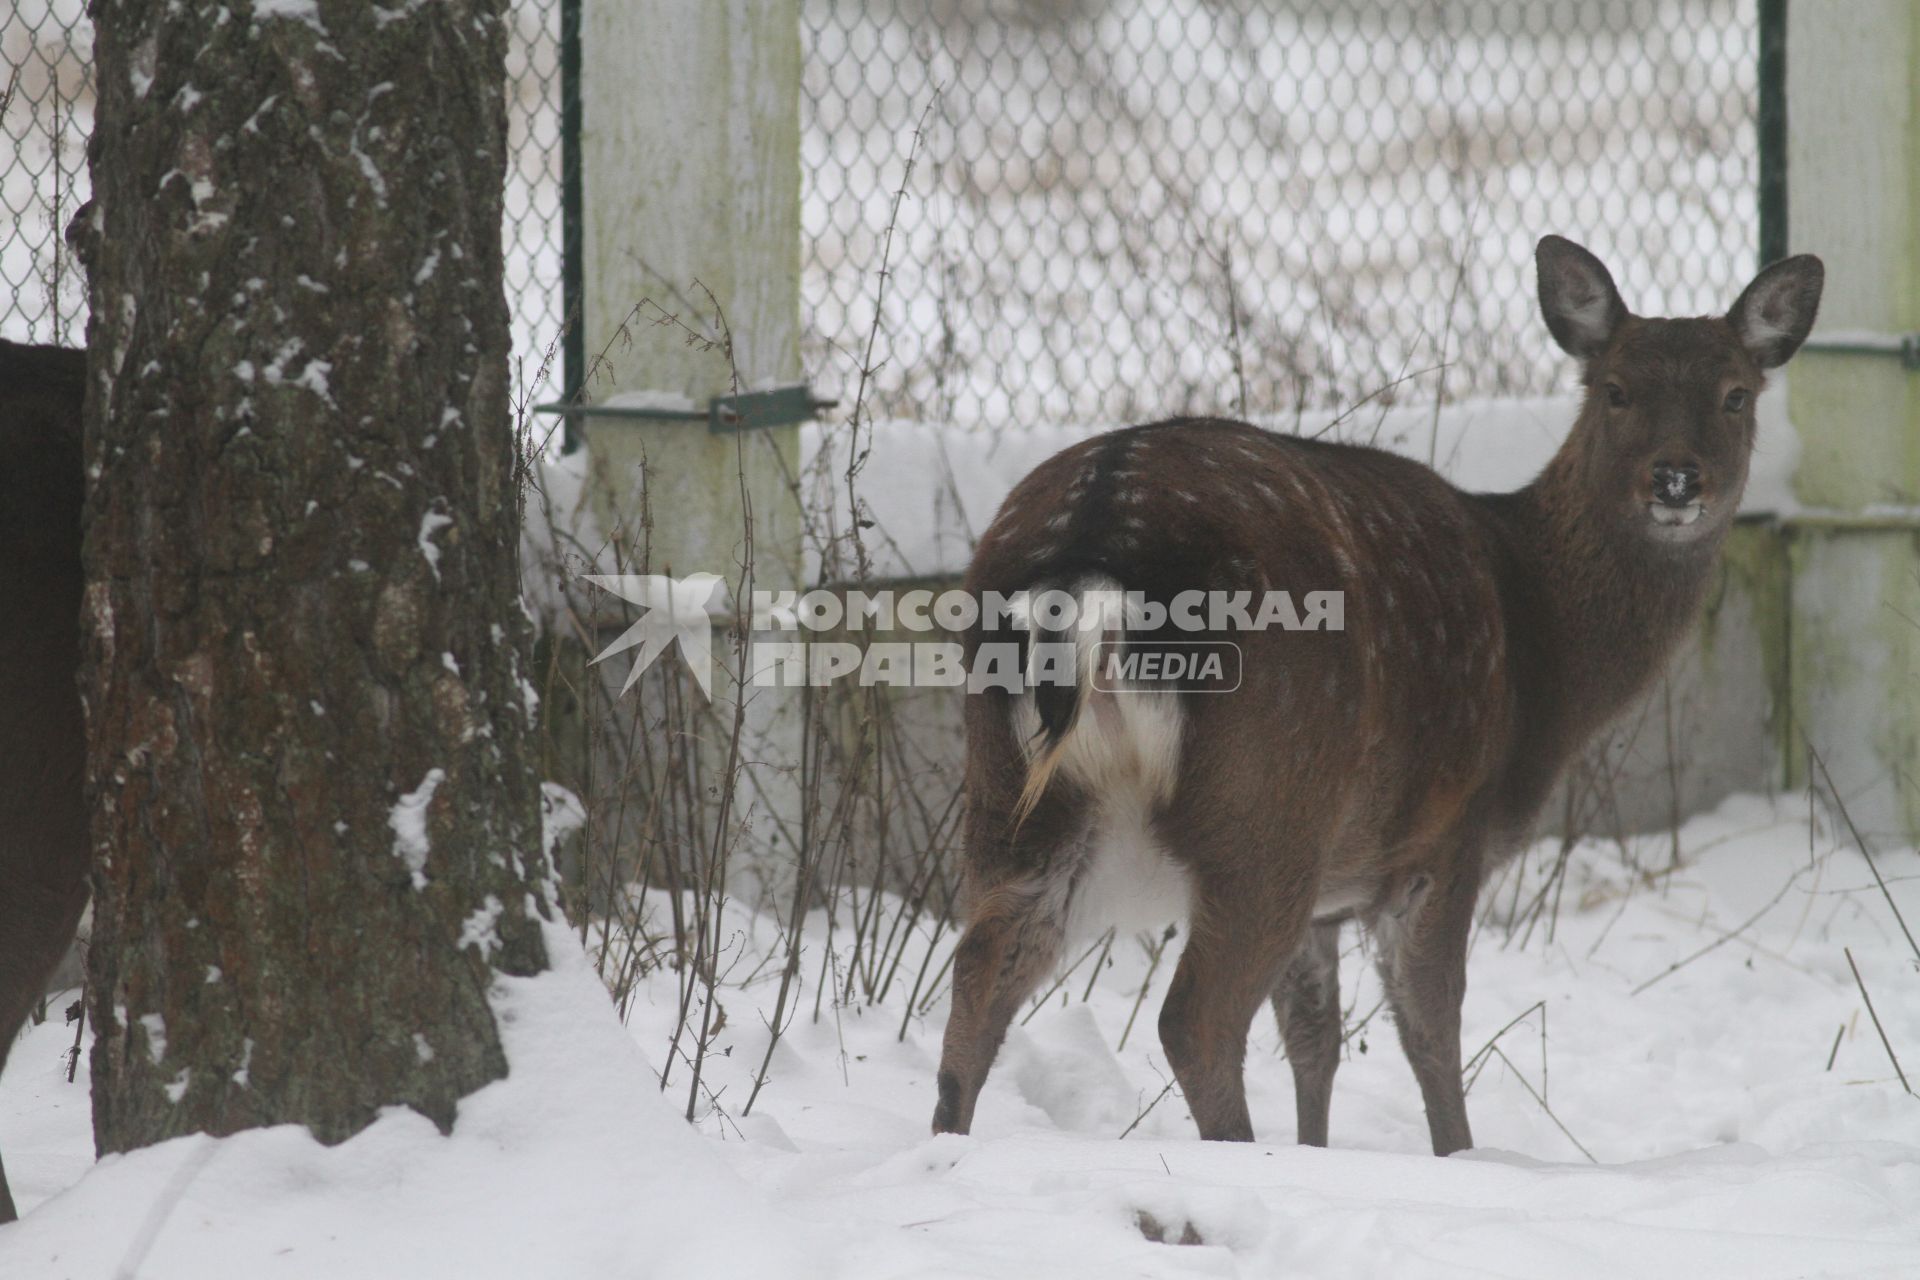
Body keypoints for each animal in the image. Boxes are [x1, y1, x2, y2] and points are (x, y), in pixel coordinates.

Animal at [936, 235, 1820, 1159]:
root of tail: (1094, 551)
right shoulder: (1447, 835)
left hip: (1018, 798)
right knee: (1193, 1019)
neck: (1545, 653)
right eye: (1615, 390)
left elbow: (1315, 1039)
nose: (1677, 481)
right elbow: (1430, 1031)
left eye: (1736, 394)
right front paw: (1457, 1154)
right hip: (1266, 800)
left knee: (976, 982)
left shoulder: (1337, 889)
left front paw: (1317, 1151)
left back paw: (948, 1147)